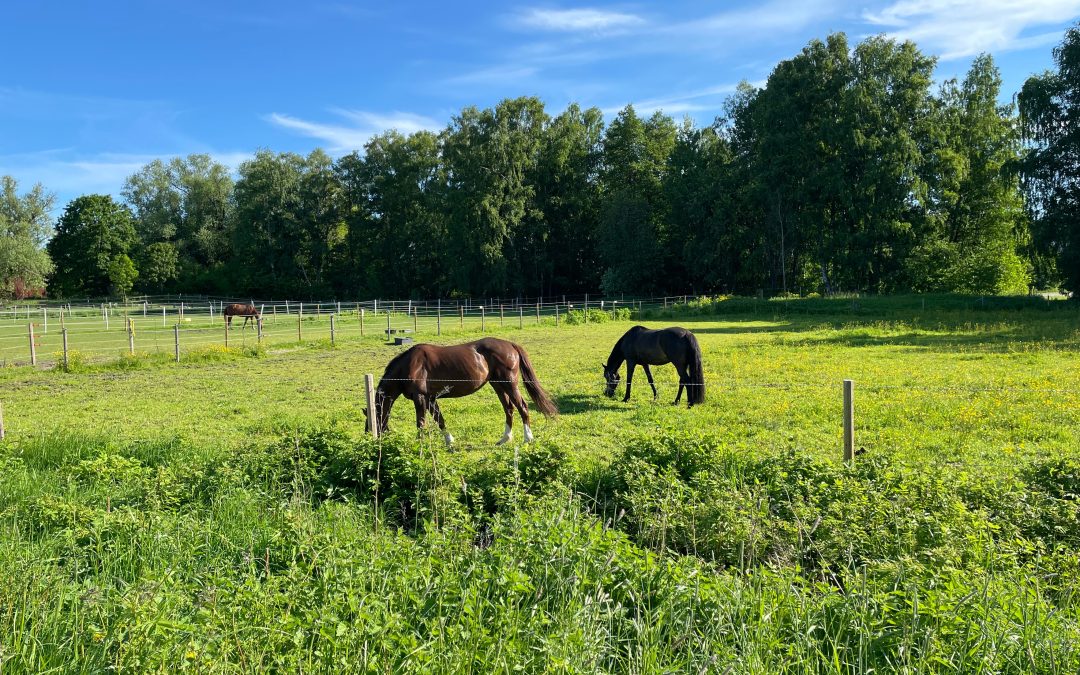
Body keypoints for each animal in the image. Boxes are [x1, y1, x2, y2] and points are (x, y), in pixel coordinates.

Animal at [369, 339, 557, 444]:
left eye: (372, 420)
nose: (372, 437)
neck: (409, 365)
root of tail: (510, 345)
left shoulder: (420, 398)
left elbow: (421, 423)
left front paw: (419, 445)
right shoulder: (431, 399)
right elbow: (439, 419)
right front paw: (449, 441)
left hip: (510, 384)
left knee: (522, 407)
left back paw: (528, 438)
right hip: (498, 385)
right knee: (509, 409)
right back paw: (505, 438)